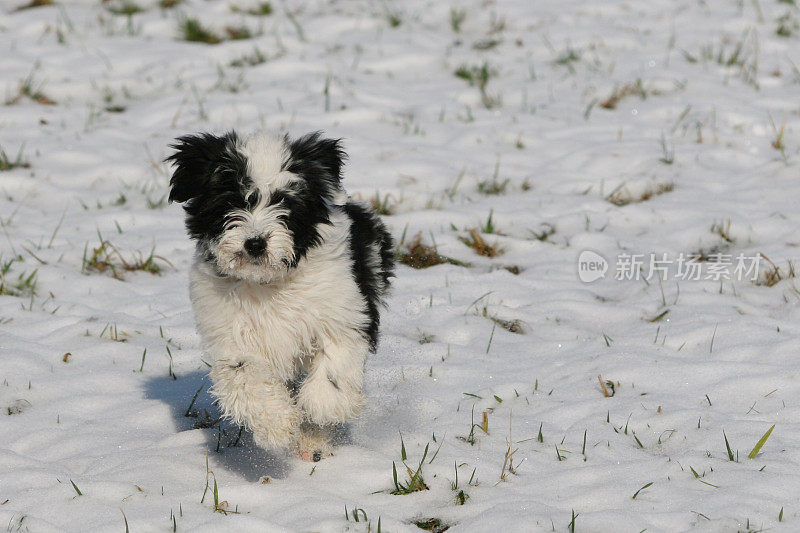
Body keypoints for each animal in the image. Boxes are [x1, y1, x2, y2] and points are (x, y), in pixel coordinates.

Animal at [166, 131, 394, 460]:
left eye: (284, 201)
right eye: (230, 200)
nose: (255, 243)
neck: (267, 283)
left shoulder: (343, 313)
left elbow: (334, 363)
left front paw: (323, 406)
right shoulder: (231, 334)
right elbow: (245, 375)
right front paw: (275, 422)